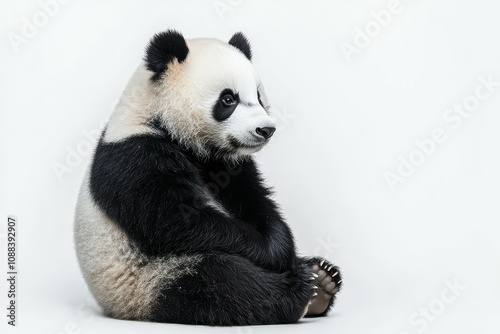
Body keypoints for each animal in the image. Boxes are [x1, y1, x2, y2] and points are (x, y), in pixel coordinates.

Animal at [74, 29, 342, 326]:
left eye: (259, 96)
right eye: (228, 99)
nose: (266, 129)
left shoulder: (229, 165)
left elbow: (256, 201)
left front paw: (282, 246)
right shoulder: (135, 156)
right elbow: (176, 219)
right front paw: (272, 253)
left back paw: (322, 275)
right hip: (144, 281)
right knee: (222, 283)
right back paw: (303, 289)